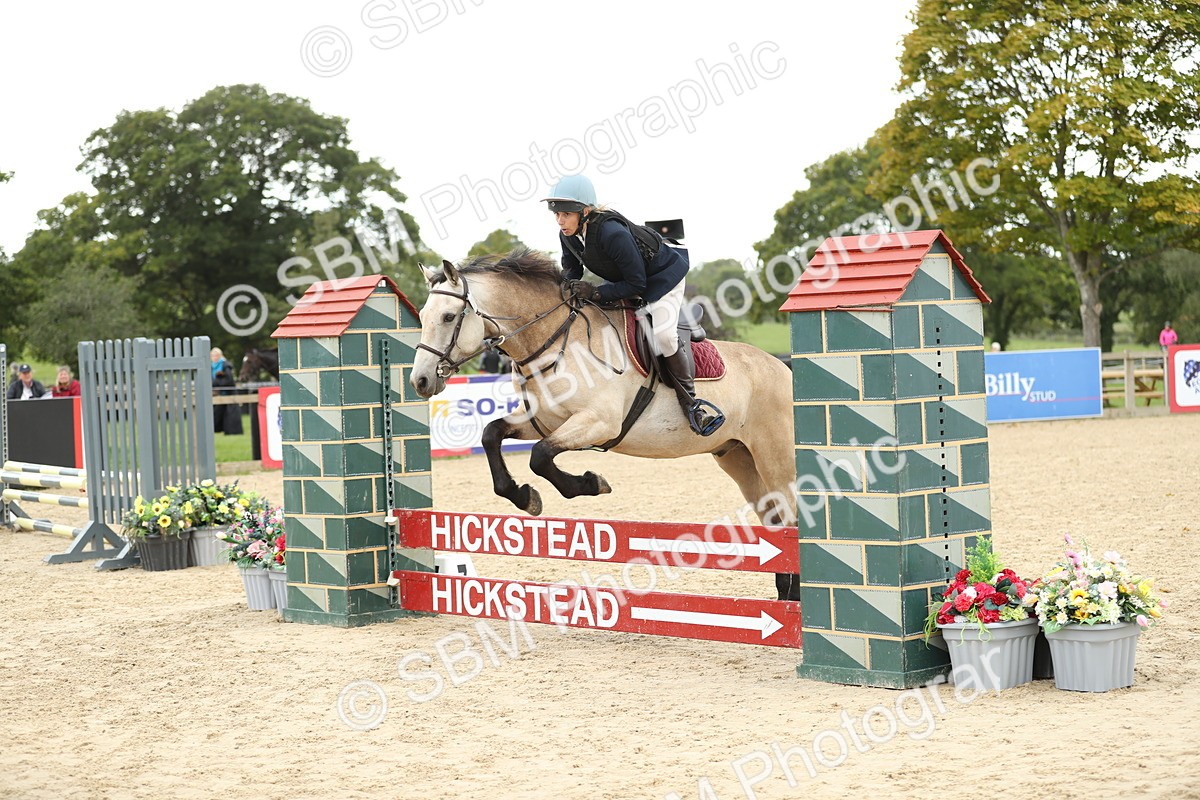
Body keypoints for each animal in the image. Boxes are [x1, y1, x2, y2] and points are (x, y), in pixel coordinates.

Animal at [409, 249, 800, 600]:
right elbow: (493, 435)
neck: (555, 342)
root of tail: (784, 369)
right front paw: (525, 496)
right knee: (775, 522)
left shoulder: (598, 422)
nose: (421, 381)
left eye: (448, 316)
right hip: (738, 458)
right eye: (423, 316)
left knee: (792, 518)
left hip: (775, 458)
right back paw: (787, 597)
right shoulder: (543, 422)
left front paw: (590, 483)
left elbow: (540, 457)